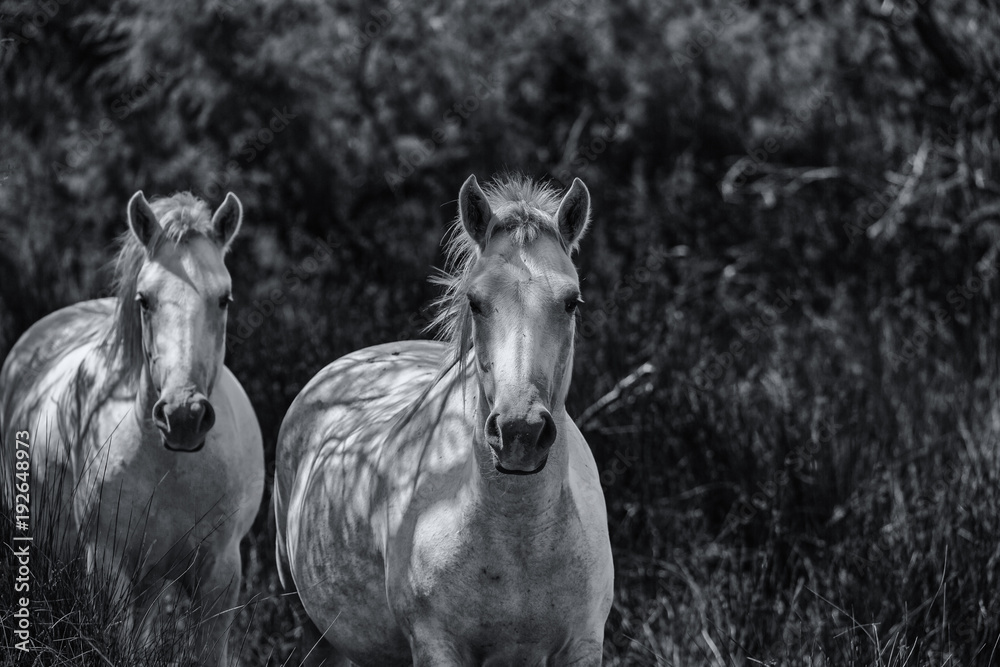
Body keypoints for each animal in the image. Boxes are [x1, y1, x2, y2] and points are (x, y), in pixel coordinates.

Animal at [0, 191, 264, 665]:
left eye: (224, 299)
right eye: (144, 300)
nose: (183, 416)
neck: (171, 465)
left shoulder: (220, 575)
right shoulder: (107, 567)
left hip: (150, 583)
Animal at [275, 174, 614, 666]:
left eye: (571, 301)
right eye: (475, 301)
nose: (520, 432)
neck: (521, 536)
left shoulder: (583, 645)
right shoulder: (436, 646)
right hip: (311, 630)